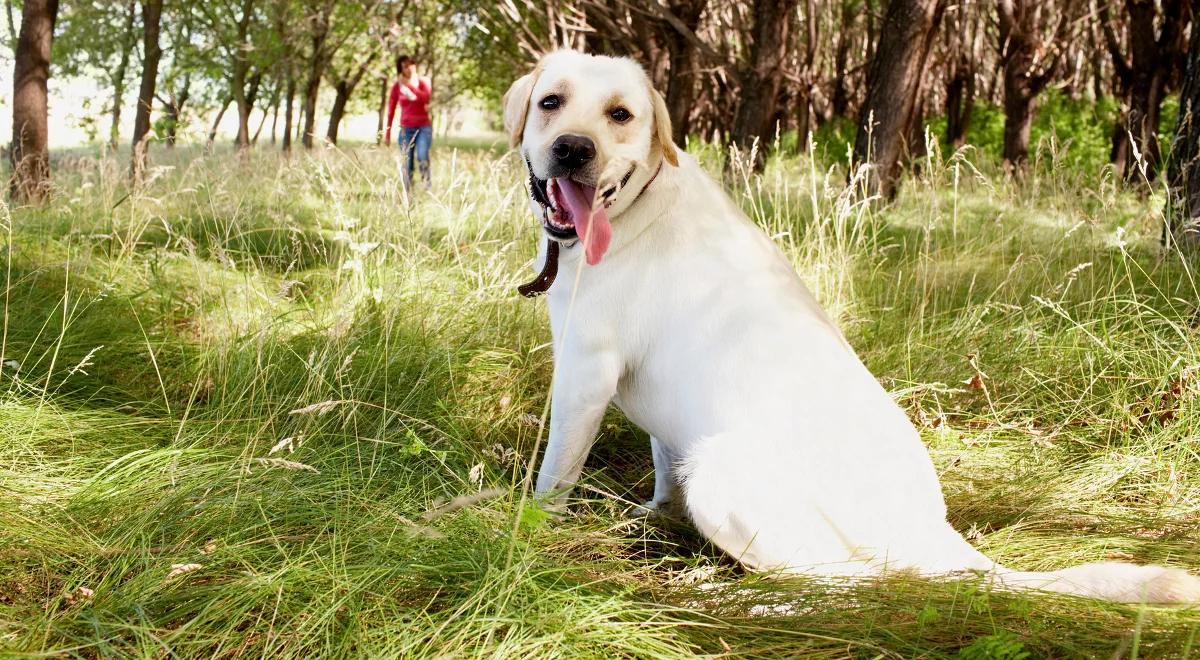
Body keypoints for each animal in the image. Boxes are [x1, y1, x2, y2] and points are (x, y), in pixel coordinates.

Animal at [506, 50, 1200, 604]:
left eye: (621, 115)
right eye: (551, 102)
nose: (573, 149)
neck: (636, 207)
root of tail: (937, 534)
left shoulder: (585, 376)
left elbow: (552, 477)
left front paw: (527, 531)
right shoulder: (652, 418)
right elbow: (659, 474)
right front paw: (645, 521)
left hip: (721, 473)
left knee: (851, 578)